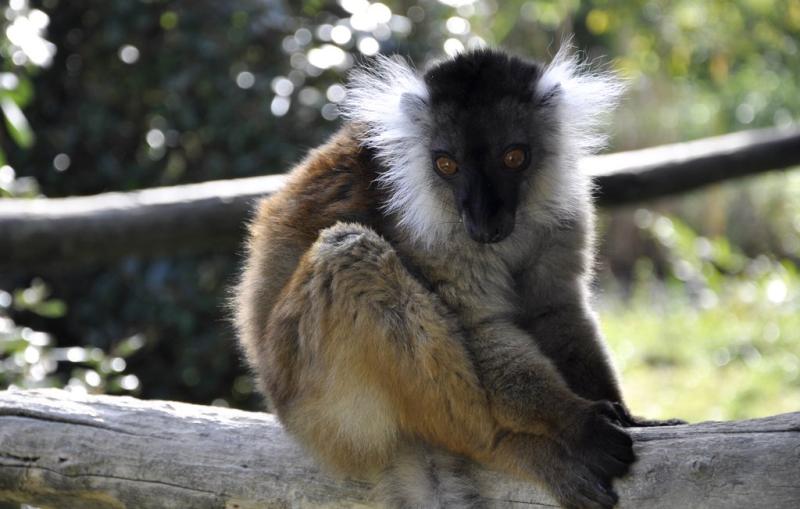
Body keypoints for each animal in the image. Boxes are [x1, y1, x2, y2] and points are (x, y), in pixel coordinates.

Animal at [233, 46, 682, 509]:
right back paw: (505, 446)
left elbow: (555, 308)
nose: (482, 224)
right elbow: (480, 328)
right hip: (322, 404)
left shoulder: (563, 203)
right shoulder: (429, 228)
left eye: (514, 157)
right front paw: (577, 423)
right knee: (350, 253)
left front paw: (628, 415)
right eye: (445, 164)